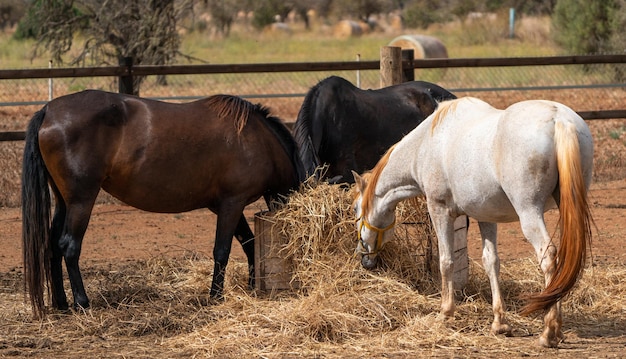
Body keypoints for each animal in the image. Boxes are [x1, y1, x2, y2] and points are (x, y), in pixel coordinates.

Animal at [23, 90, 306, 318]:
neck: (256, 139)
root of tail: (49, 111)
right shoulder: (231, 204)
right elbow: (222, 250)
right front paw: (216, 296)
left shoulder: (226, 206)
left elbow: (248, 244)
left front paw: (250, 286)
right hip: (82, 200)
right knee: (69, 246)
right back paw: (82, 303)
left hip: (64, 201)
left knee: (53, 247)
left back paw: (61, 304)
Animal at [354, 97, 592, 348]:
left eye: (356, 210)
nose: (364, 258)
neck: (425, 145)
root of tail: (559, 119)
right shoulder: (486, 217)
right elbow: (491, 262)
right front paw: (500, 323)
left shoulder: (439, 210)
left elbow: (446, 261)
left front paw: (445, 312)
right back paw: (558, 329)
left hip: (530, 212)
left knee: (548, 257)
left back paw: (549, 331)